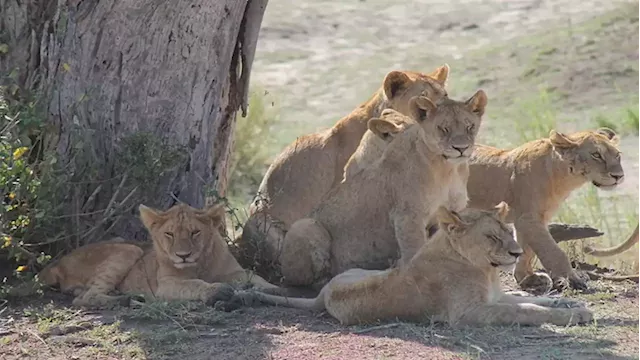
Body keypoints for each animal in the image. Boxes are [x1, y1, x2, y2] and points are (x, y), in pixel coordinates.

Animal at [38, 201, 280, 308]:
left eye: (195, 232)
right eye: (169, 234)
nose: (183, 255)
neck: (201, 262)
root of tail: (57, 263)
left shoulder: (234, 272)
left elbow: (253, 276)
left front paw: (273, 289)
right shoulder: (166, 284)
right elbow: (194, 284)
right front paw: (216, 291)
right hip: (129, 249)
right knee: (84, 299)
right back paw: (128, 299)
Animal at [244, 204, 592, 328]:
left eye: (510, 231)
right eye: (492, 236)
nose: (518, 253)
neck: (485, 269)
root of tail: (324, 293)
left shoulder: (493, 296)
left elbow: (530, 301)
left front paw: (571, 304)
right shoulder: (468, 314)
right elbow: (526, 311)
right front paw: (572, 315)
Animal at [272, 90, 488, 290]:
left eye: (470, 126)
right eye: (443, 128)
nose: (461, 148)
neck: (449, 170)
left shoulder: (448, 214)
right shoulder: (407, 216)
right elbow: (415, 250)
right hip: (306, 226)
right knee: (301, 280)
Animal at [468, 128, 624, 292]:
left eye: (617, 155)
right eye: (596, 155)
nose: (618, 176)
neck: (563, 177)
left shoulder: (534, 218)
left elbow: (526, 250)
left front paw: (527, 278)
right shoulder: (529, 218)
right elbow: (554, 252)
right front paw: (573, 280)